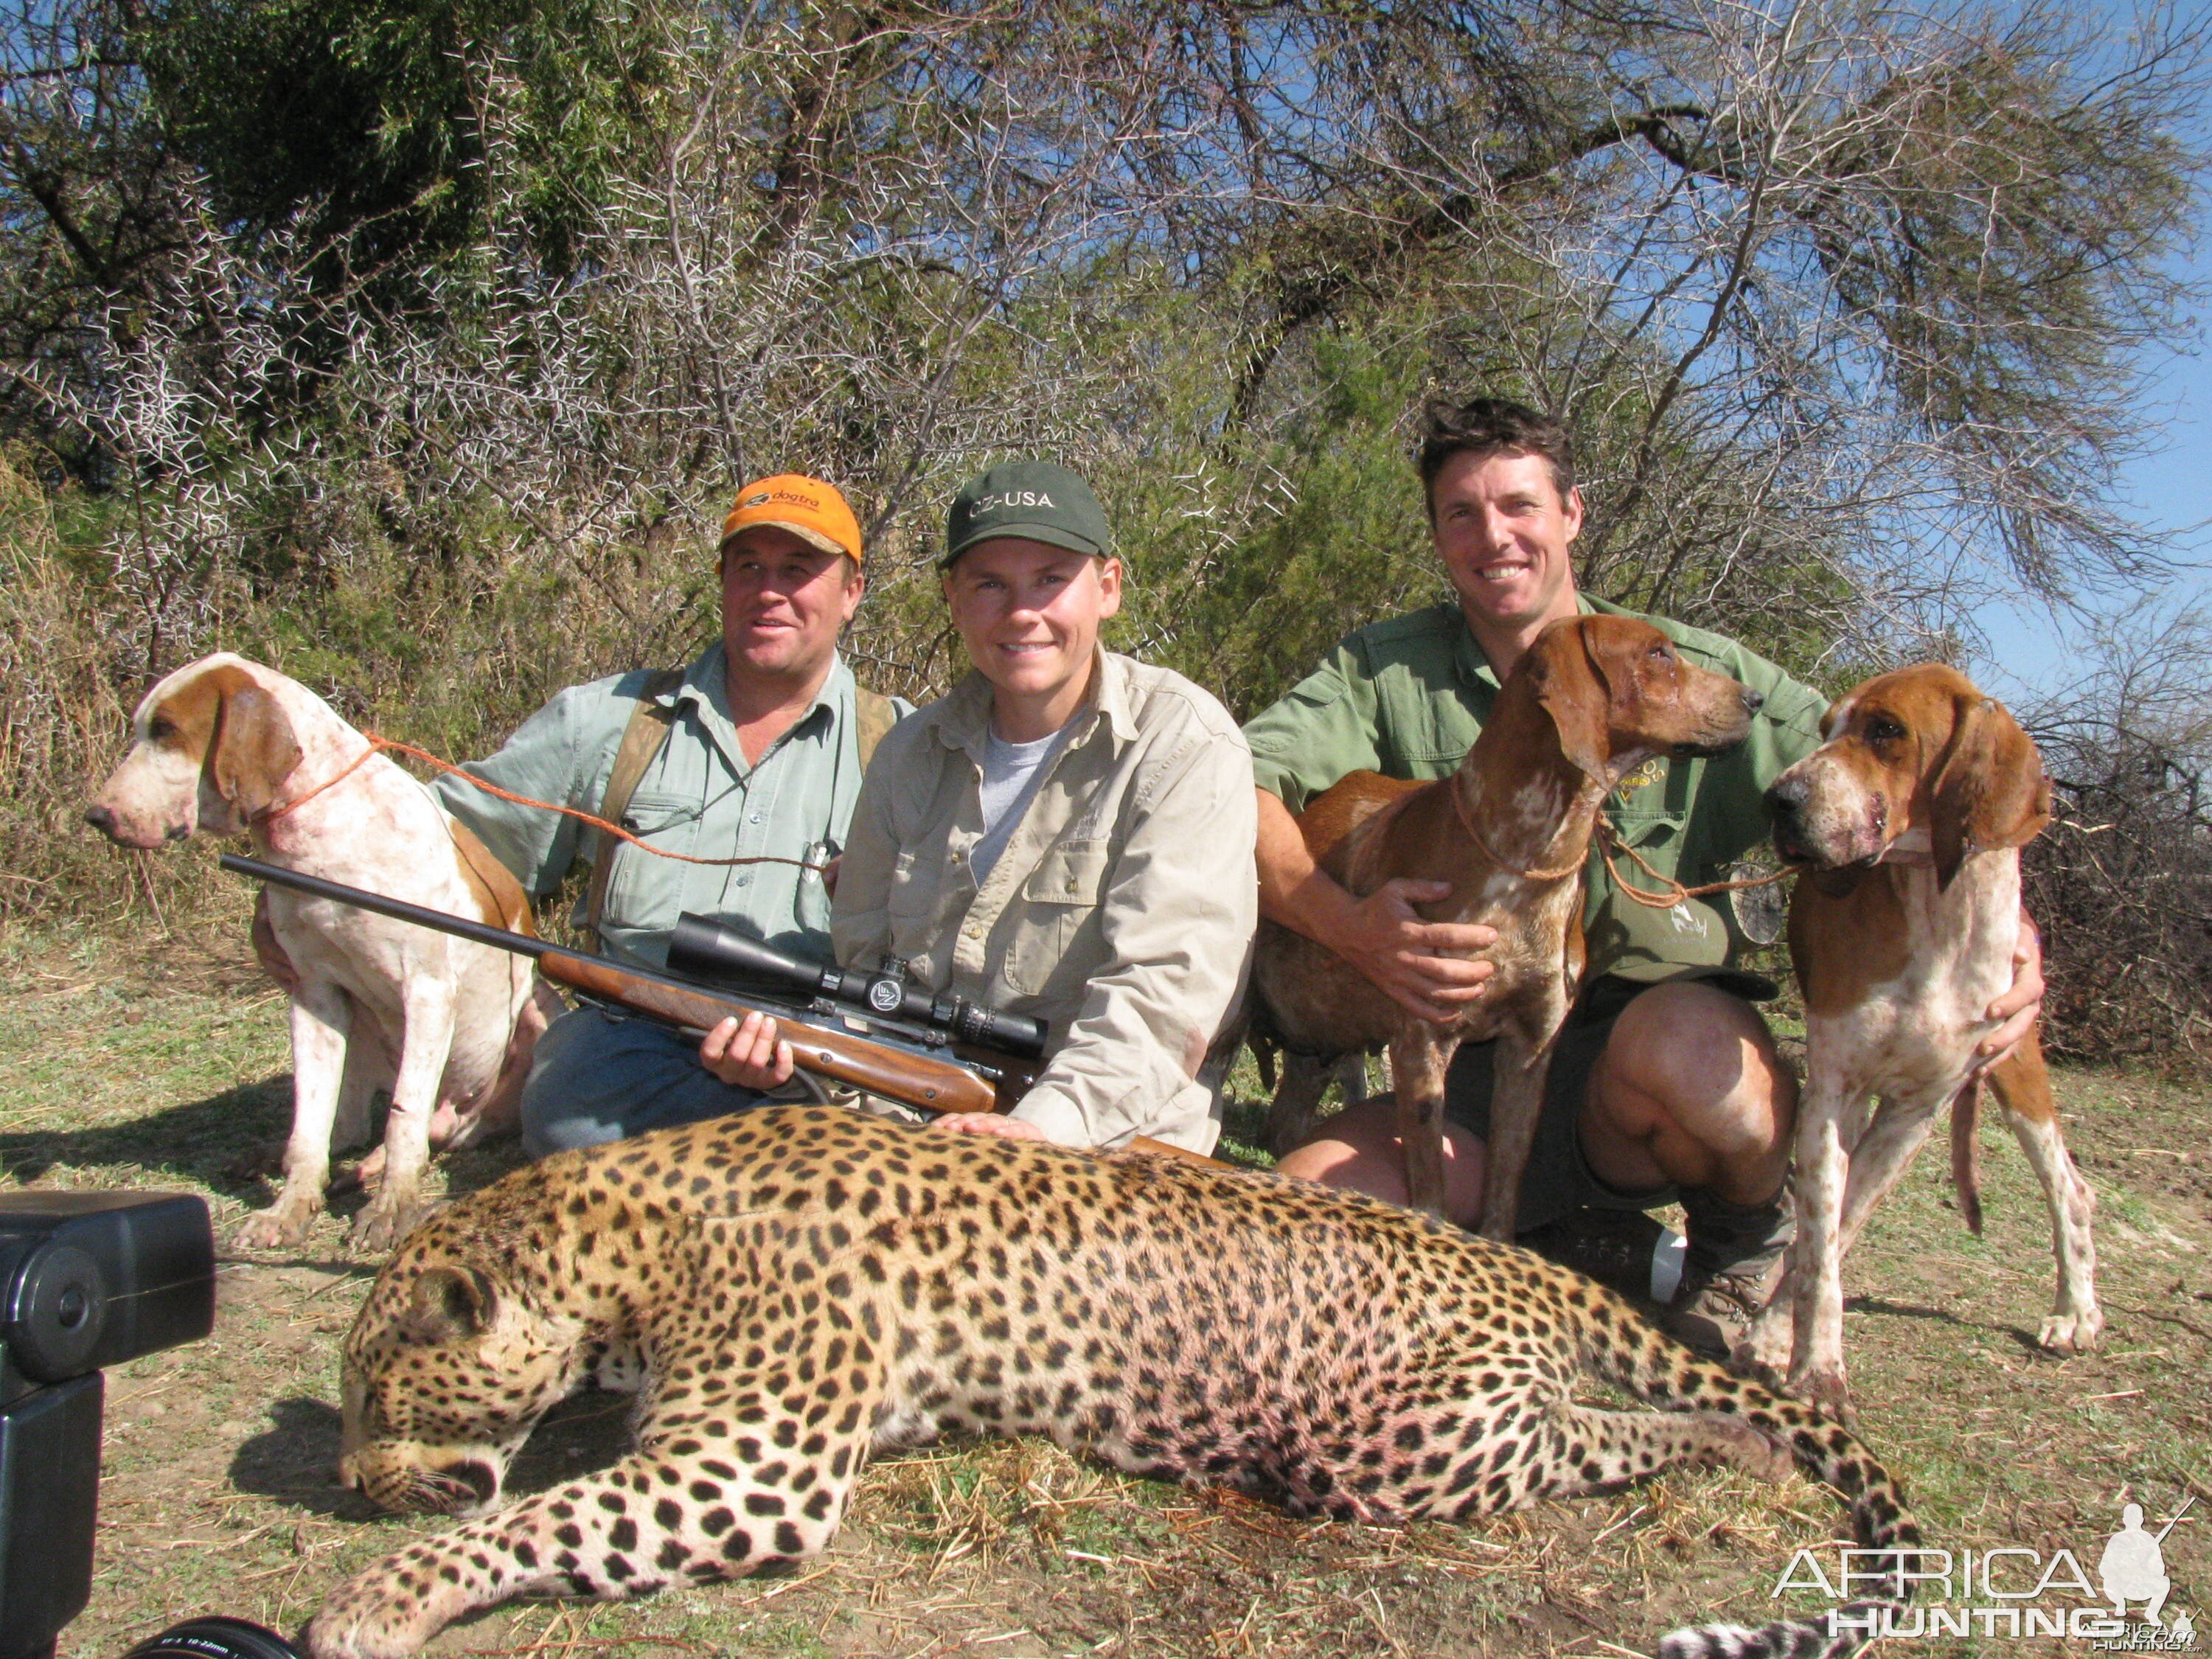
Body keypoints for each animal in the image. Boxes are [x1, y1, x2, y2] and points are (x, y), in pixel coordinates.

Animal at [312, 1106, 1920, 1659]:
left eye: (379, 1397)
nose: (340, 1479)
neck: (623, 1239)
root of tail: (1525, 1263)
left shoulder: (747, 1468)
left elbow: (531, 1520)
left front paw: (370, 1604)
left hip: (1396, 1439)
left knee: (1608, 1431)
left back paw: (1729, 1452)